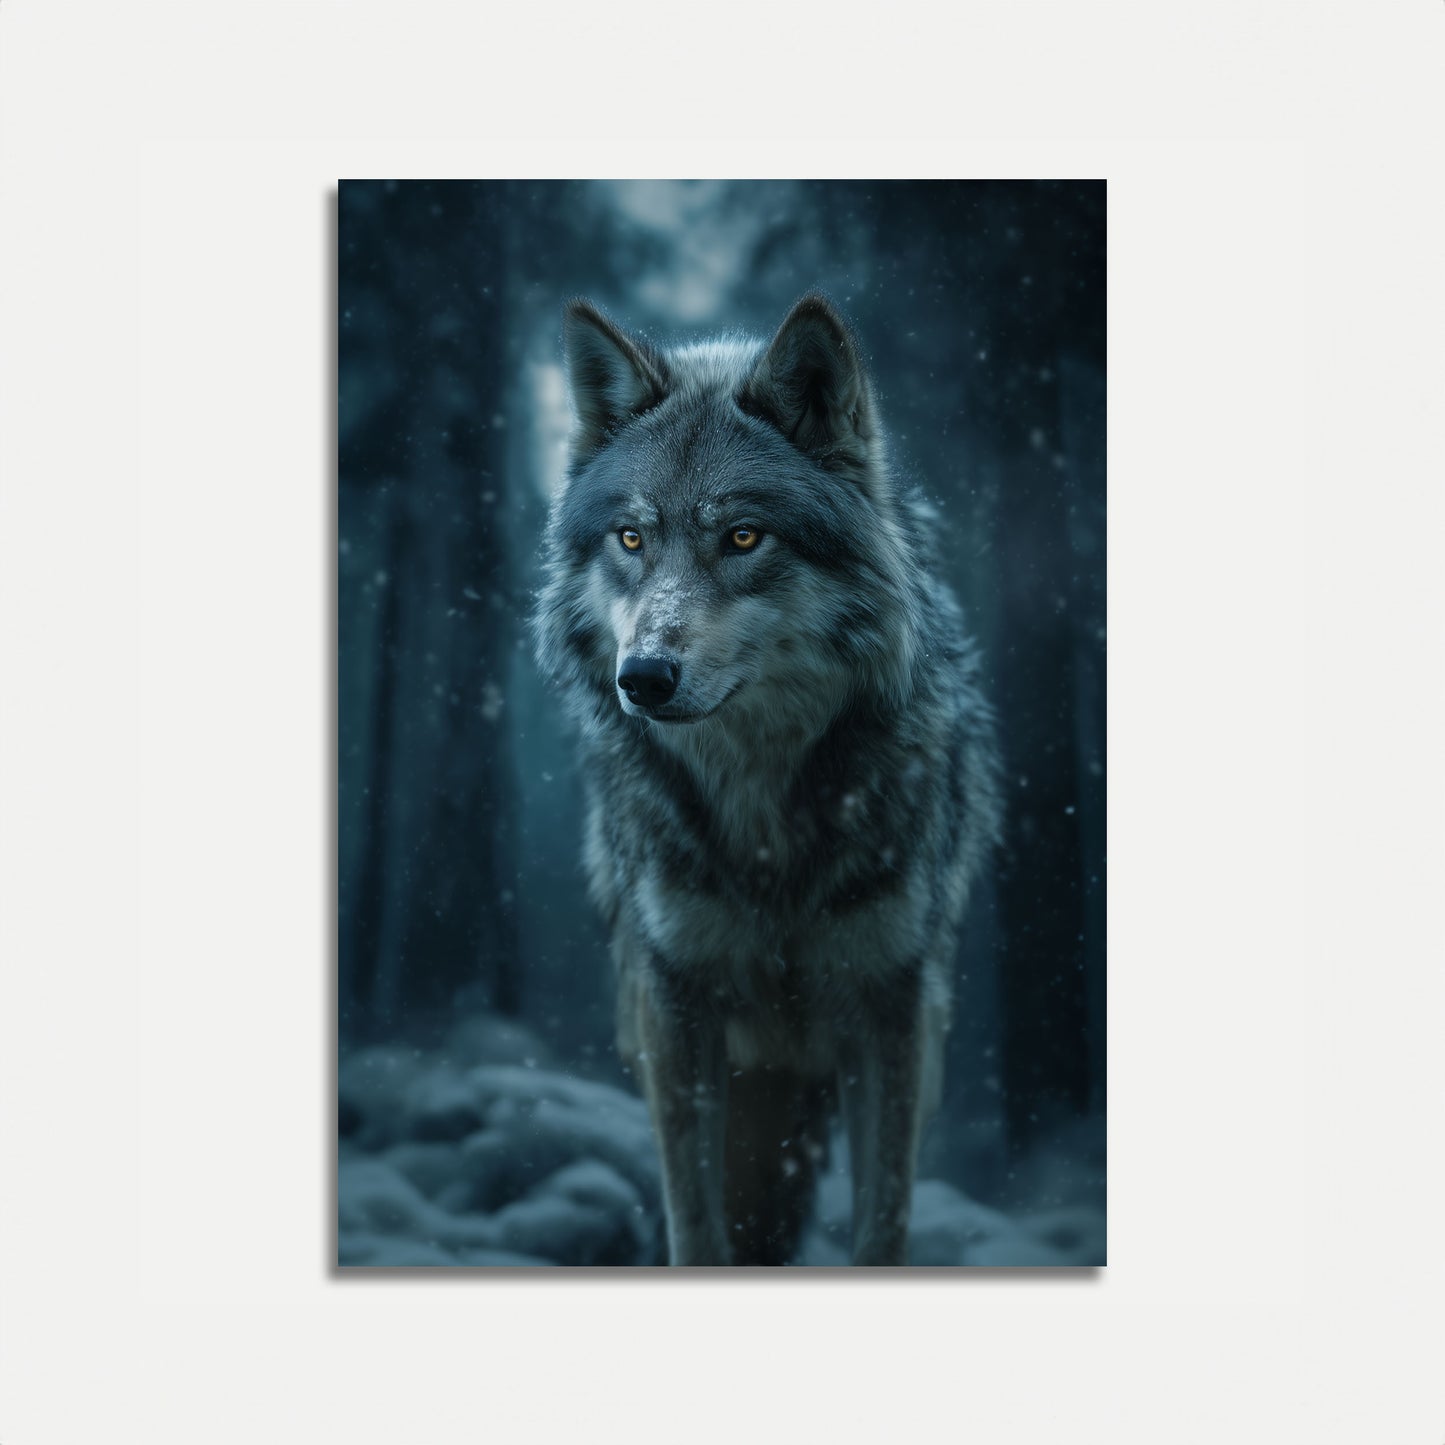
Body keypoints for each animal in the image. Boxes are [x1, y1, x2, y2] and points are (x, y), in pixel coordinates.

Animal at [534, 292, 1002, 1266]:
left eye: (742, 536)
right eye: (630, 537)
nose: (644, 676)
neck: (762, 826)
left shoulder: (893, 1009)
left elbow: (882, 1224)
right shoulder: (675, 1007)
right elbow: (696, 1226)